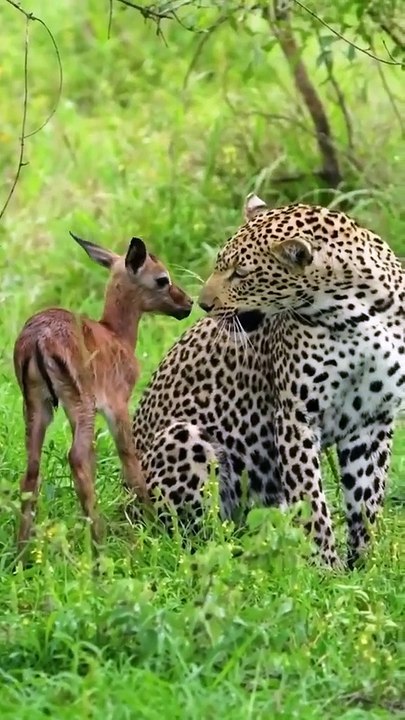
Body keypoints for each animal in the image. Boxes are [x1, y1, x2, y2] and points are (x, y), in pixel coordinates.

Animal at [132, 194, 405, 568]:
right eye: (221, 265)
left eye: (241, 273)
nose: (203, 305)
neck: (356, 313)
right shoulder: (296, 416)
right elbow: (310, 499)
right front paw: (326, 568)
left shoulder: (373, 419)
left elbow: (367, 497)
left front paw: (364, 566)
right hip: (184, 439)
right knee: (188, 538)